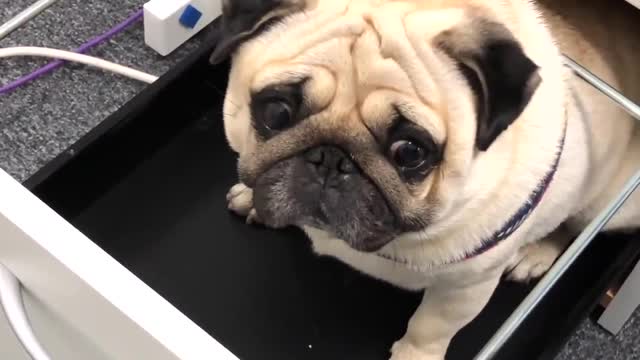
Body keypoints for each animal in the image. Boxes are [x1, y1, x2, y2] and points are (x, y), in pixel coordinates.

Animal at [211, 0, 640, 358]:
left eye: (410, 152)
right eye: (276, 112)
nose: (330, 159)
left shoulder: (464, 289)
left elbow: (429, 328)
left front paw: (414, 355)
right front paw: (251, 197)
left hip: (607, 210)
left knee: (575, 225)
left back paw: (537, 253)